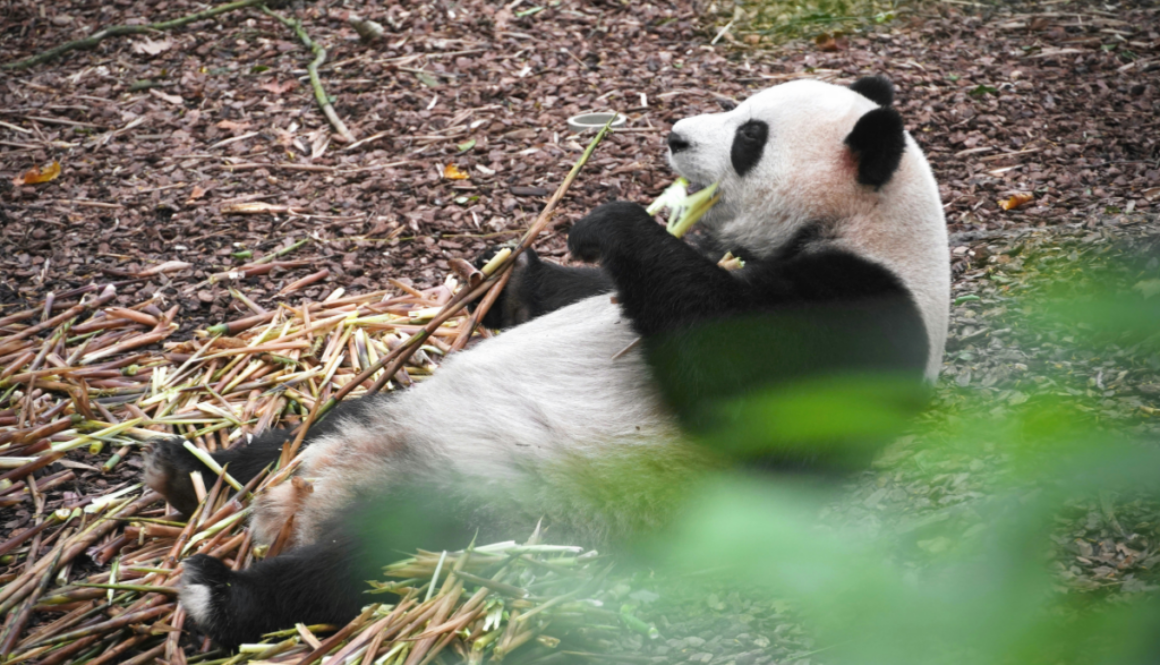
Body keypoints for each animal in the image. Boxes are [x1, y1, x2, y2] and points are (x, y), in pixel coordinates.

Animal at [142, 75, 951, 645]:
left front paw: (613, 221)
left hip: (493, 511)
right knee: (301, 434)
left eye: (750, 135)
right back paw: (185, 469)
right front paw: (508, 272)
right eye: (741, 109)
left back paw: (221, 595)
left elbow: (743, 380)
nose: (676, 137)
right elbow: (581, 293)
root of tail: (310, 499)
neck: (869, 227)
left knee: (370, 563)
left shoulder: (866, 314)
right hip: (378, 414)